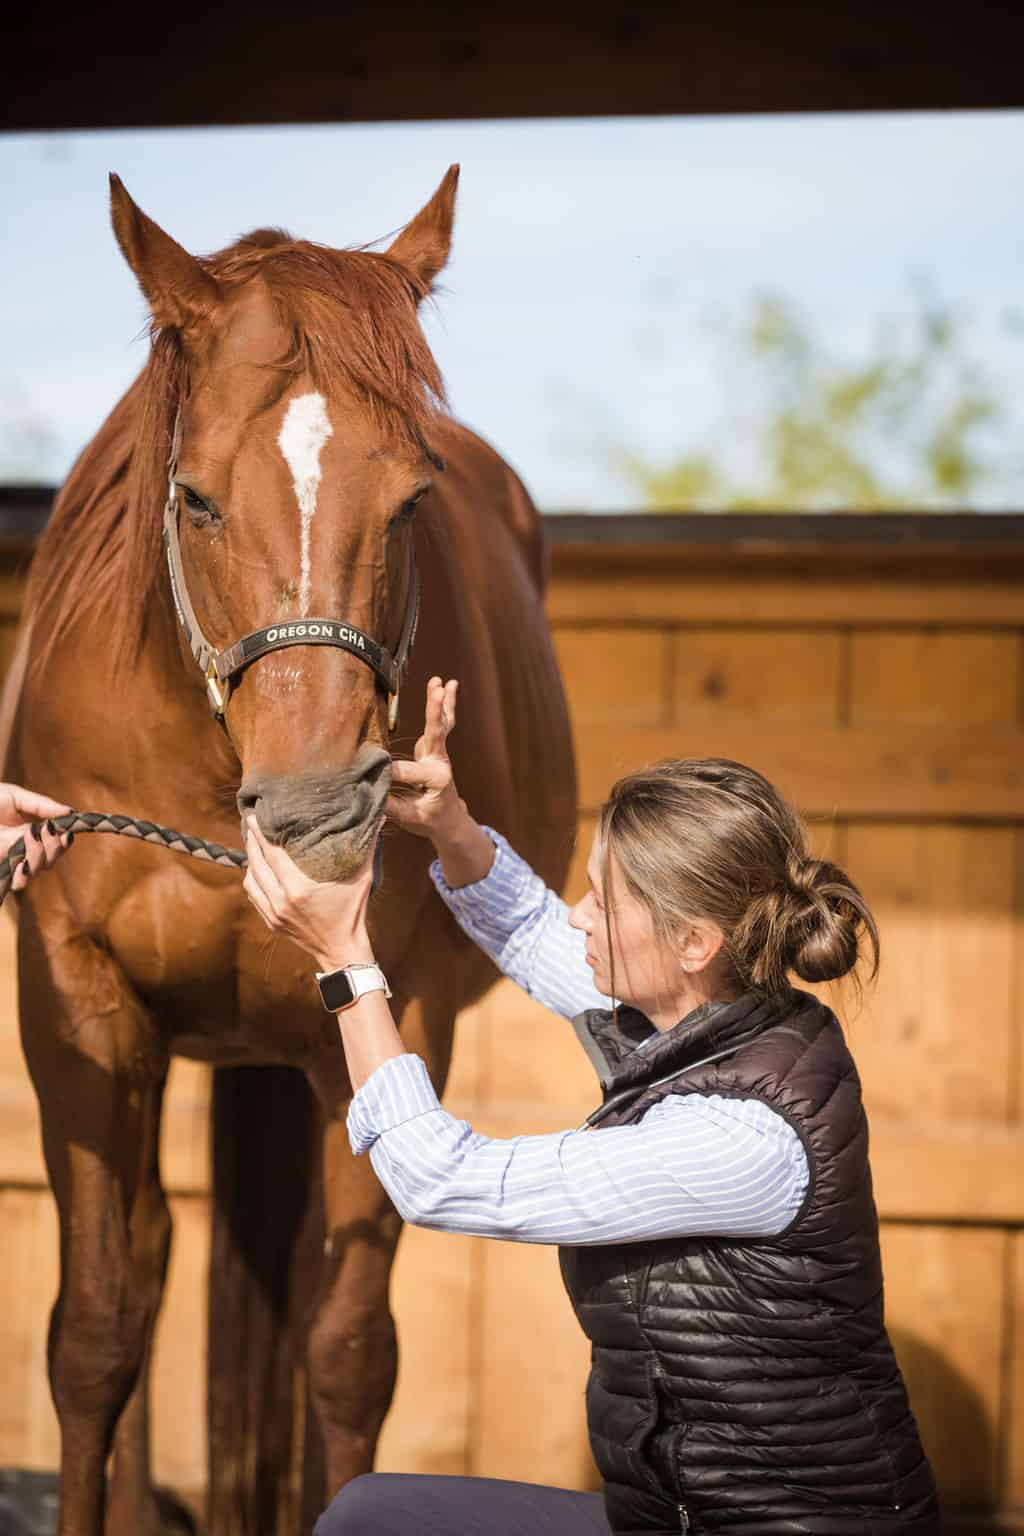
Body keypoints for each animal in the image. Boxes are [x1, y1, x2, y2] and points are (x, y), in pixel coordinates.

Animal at [5, 168, 577, 1536]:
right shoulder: (77, 1009)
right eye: (196, 495)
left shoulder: (396, 1015)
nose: (319, 808)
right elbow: (95, 1335)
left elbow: (349, 1352)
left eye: (414, 498)